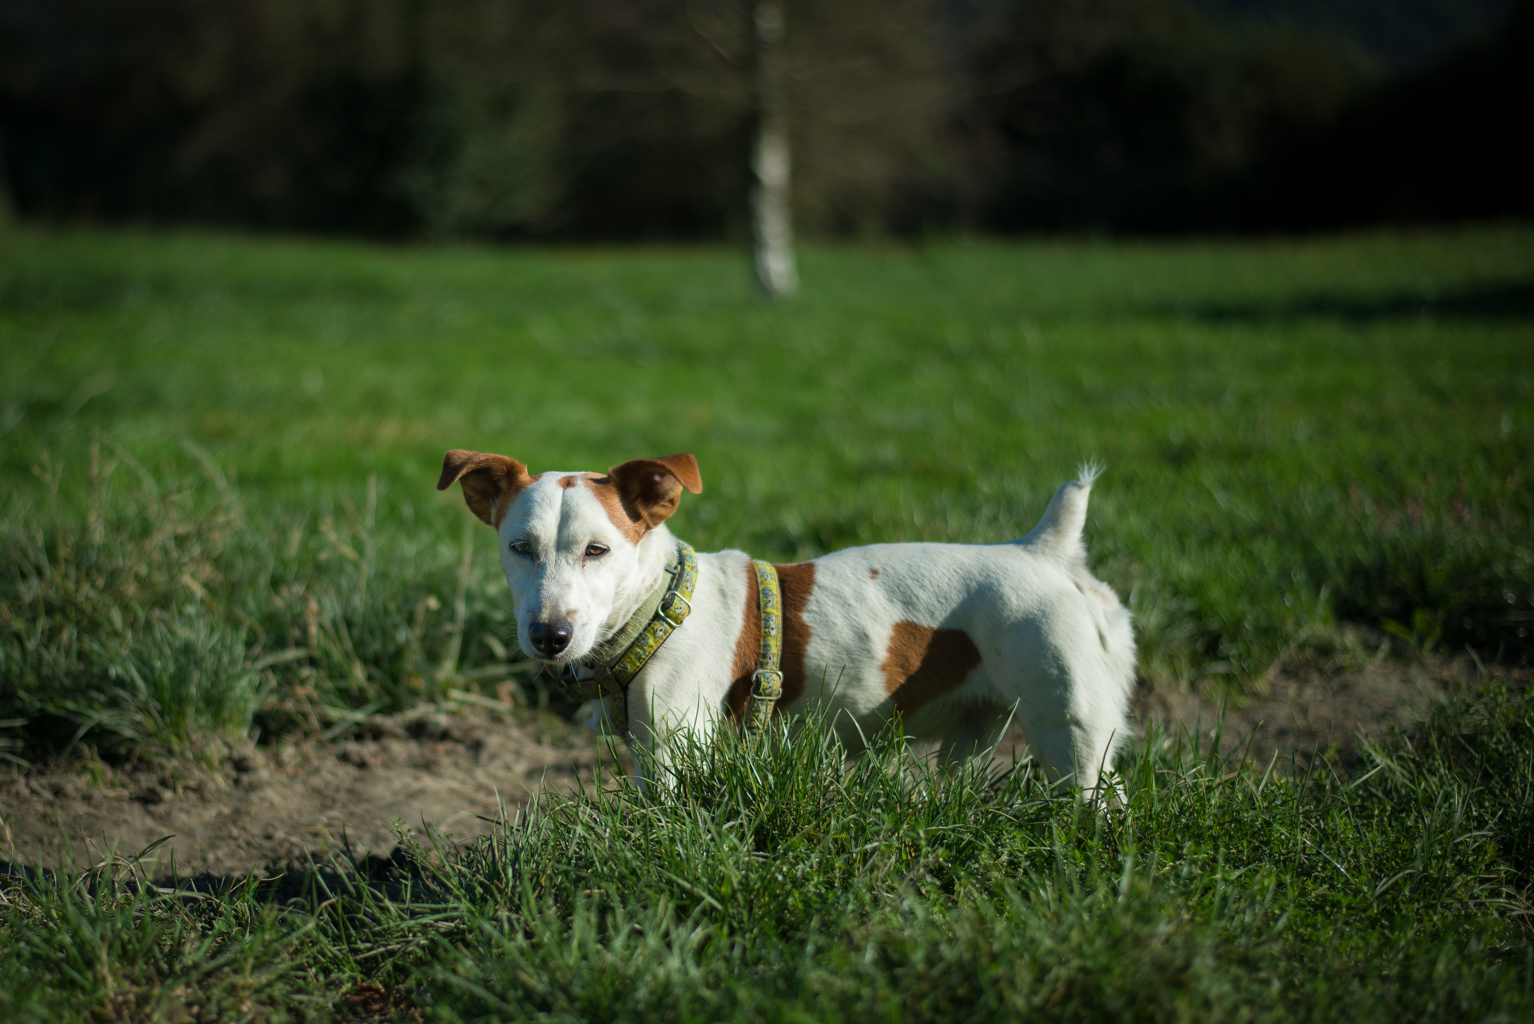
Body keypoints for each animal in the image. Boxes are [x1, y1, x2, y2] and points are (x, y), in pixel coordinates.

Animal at [438, 450, 1135, 790]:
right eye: (519, 547)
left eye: (597, 550)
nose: (548, 635)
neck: (659, 609)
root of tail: (1043, 550)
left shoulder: (672, 749)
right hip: (973, 730)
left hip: (1074, 730)